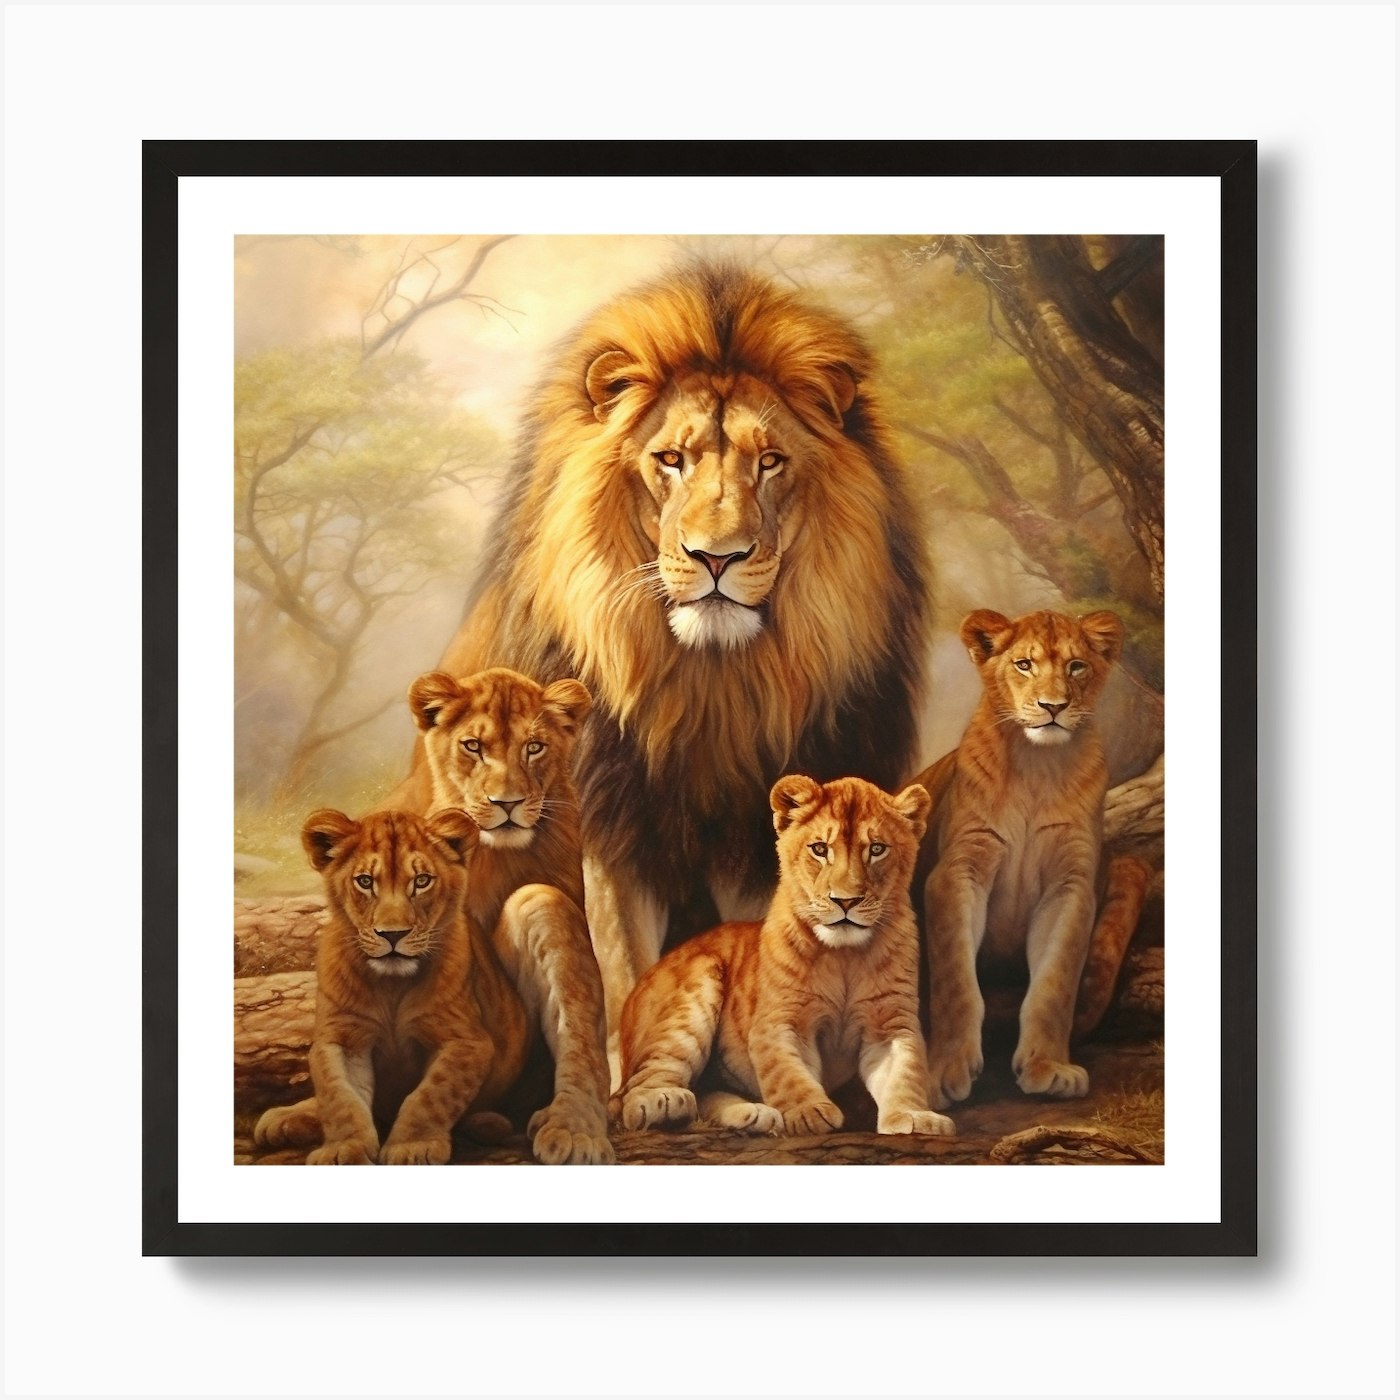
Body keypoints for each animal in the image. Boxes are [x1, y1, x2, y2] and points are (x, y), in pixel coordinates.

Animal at [253, 805, 613, 1164]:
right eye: (365, 882)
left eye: (421, 881)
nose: (393, 935)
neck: (392, 987)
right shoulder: (344, 1037)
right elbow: (340, 1095)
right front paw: (344, 1148)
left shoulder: (466, 1041)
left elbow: (431, 1095)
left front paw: (412, 1147)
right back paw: (289, 1117)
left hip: (539, 901)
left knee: (582, 1048)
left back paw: (573, 1132)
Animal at [390, 263, 931, 1078]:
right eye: (670, 461)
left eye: (770, 461)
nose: (718, 558)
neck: (713, 684)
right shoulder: (615, 826)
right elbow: (622, 971)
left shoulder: (760, 836)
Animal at [614, 774, 954, 1140]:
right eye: (820, 849)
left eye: (877, 849)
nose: (845, 901)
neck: (844, 957)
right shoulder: (781, 1020)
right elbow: (788, 1072)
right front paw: (808, 1112)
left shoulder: (890, 1022)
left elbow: (904, 1073)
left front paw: (914, 1115)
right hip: (696, 983)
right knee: (635, 1092)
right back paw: (662, 1102)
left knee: (703, 1093)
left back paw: (754, 1114)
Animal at [915, 608, 1152, 1109]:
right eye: (1024, 665)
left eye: (1076, 667)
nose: (1053, 707)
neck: (1035, 765)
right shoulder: (958, 871)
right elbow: (955, 981)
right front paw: (944, 1072)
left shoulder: (1070, 884)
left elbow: (1054, 983)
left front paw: (1048, 1068)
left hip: (1130, 867)